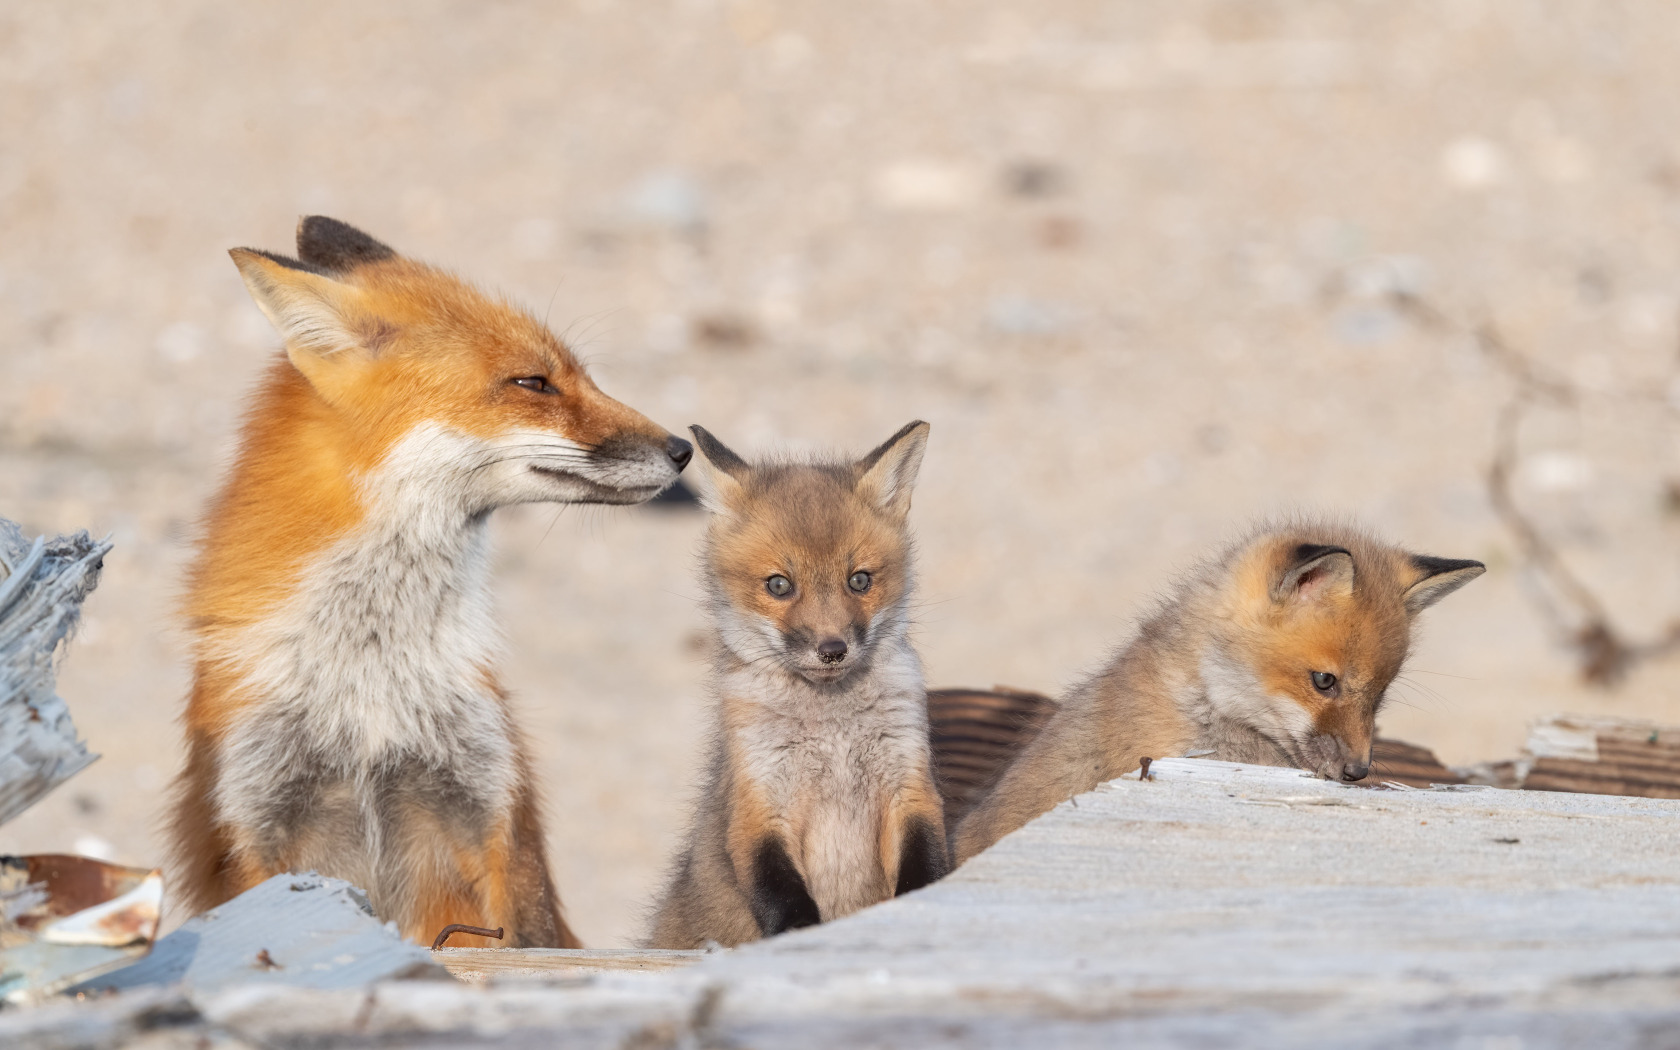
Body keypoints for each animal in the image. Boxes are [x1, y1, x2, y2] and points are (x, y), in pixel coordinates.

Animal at [167, 216, 692, 947]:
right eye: (533, 382)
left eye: (579, 375)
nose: (684, 449)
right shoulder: (254, 820)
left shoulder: (489, 810)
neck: (370, 679)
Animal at [648, 421, 954, 947]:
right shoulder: (759, 805)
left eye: (859, 580)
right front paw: (799, 936)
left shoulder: (910, 786)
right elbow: (780, 893)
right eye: (779, 585)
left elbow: (925, 869)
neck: (832, 730)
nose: (832, 649)